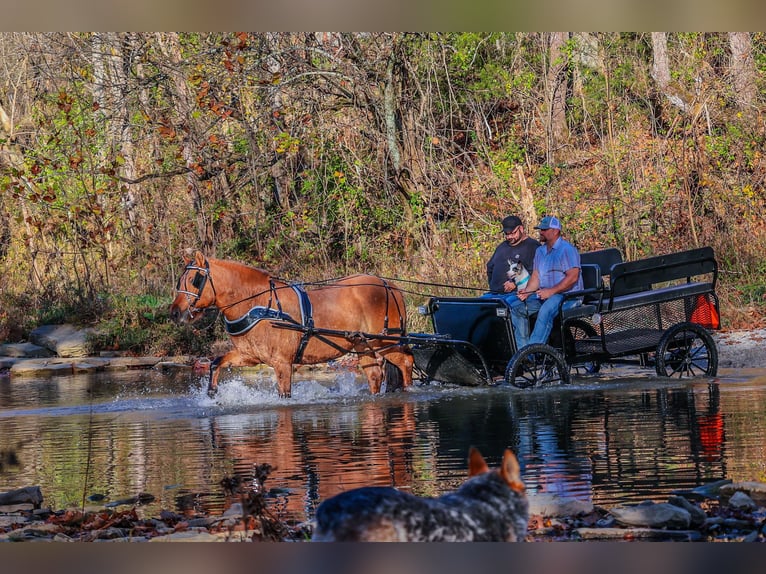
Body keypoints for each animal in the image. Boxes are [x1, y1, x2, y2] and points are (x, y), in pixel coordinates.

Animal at [168, 252, 414, 400]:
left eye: (194, 280)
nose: (175, 312)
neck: (258, 304)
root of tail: (389, 285)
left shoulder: (282, 363)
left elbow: (284, 394)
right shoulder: (249, 355)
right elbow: (216, 362)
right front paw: (212, 392)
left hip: (384, 341)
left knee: (406, 362)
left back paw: (410, 390)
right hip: (363, 345)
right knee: (374, 375)